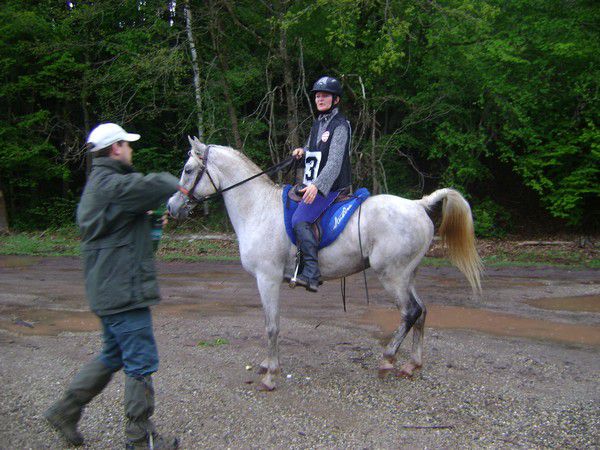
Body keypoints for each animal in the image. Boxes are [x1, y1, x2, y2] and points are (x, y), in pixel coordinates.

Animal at [167, 137, 483, 390]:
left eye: (188, 170)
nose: (172, 207)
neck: (258, 208)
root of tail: (418, 205)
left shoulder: (267, 279)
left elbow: (272, 326)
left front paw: (270, 375)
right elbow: (270, 324)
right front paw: (268, 366)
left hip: (392, 276)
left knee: (410, 312)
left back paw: (388, 359)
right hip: (408, 275)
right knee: (423, 311)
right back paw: (412, 364)